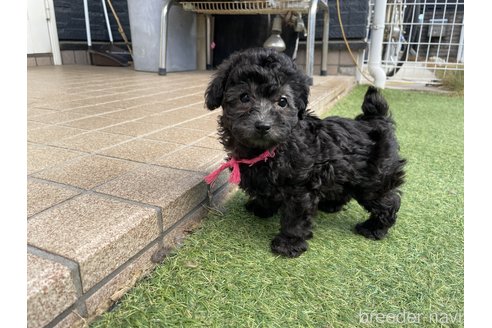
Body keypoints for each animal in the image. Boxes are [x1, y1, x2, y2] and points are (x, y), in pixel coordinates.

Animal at [202, 48, 406, 258]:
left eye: (282, 102)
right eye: (244, 97)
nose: (263, 125)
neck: (271, 151)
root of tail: (375, 120)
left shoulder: (300, 187)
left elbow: (295, 216)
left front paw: (288, 243)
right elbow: (266, 194)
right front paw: (261, 208)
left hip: (373, 180)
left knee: (387, 200)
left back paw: (374, 227)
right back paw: (331, 205)